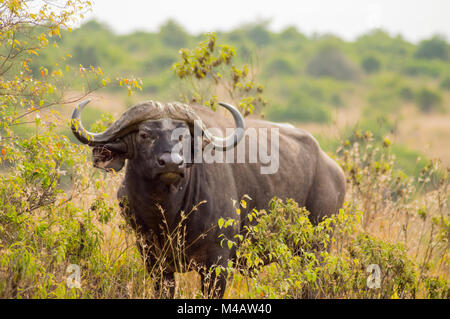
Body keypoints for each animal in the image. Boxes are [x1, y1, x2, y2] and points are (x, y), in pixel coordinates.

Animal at [71, 99, 344, 298]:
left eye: (183, 136)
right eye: (144, 135)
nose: (171, 162)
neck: (169, 214)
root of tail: (333, 169)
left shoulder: (217, 263)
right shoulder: (154, 260)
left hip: (317, 247)